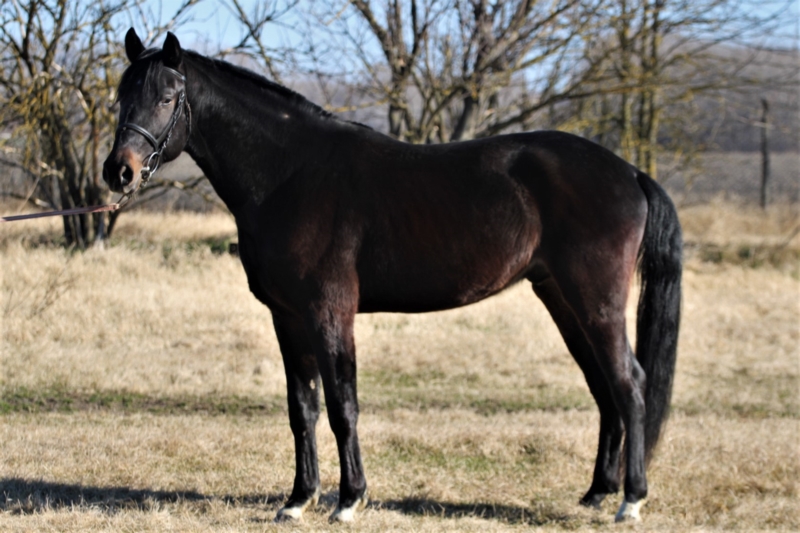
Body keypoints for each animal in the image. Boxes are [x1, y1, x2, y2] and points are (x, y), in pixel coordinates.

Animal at [101, 29, 680, 524]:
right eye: (121, 96)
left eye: (167, 97)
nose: (118, 171)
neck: (290, 174)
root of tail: (629, 172)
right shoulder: (288, 319)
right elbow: (302, 409)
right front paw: (297, 500)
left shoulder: (329, 313)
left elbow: (342, 406)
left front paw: (348, 500)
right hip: (562, 300)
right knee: (605, 389)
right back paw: (597, 492)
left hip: (596, 302)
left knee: (630, 385)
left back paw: (630, 501)